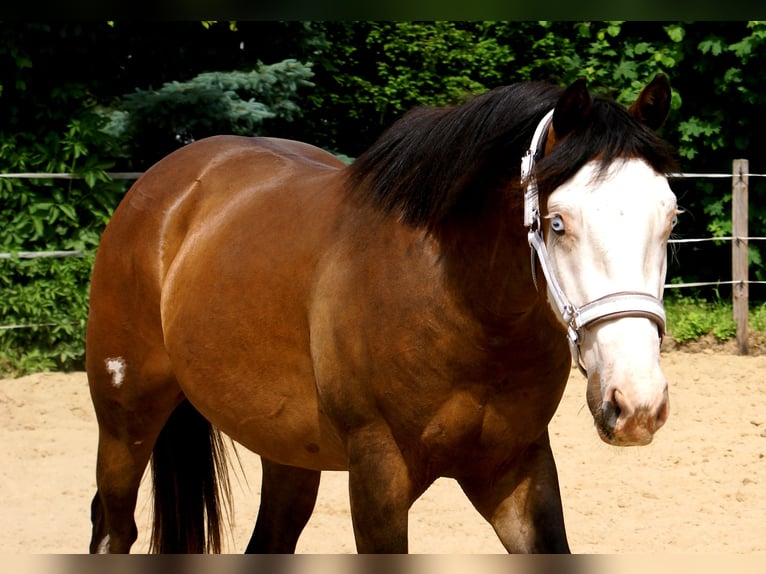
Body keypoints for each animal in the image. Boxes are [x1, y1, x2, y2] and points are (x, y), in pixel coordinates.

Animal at [86, 74, 678, 554]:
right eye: (557, 222)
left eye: (671, 217)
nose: (636, 403)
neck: (461, 309)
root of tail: (164, 183)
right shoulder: (378, 476)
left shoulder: (516, 468)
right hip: (125, 421)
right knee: (112, 526)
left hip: (288, 453)